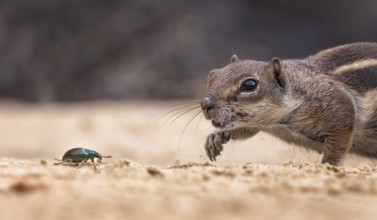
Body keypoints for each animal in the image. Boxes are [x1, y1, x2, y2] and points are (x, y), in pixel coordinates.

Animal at [201, 42, 376, 164]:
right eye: (211, 75)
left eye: (249, 85)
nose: (205, 104)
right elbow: (246, 130)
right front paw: (216, 137)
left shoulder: (340, 111)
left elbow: (338, 146)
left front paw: (326, 166)